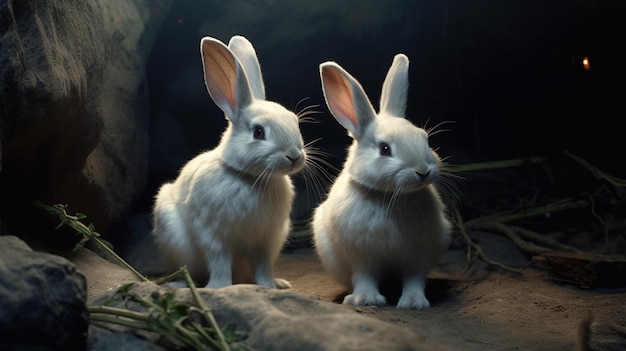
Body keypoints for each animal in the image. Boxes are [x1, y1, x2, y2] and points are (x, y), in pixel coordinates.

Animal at [152, 35, 306, 288]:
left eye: (294, 121)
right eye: (258, 132)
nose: (294, 155)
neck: (249, 178)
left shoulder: (264, 239)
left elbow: (263, 266)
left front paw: (269, 286)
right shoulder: (213, 234)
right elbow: (219, 261)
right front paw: (219, 287)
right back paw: (179, 284)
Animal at [310, 53, 448, 310]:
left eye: (424, 138)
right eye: (385, 149)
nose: (423, 171)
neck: (387, 196)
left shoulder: (417, 253)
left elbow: (414, 277)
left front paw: (414, 303)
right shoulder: (361, 255)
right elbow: (365, 276)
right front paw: (366, 299)